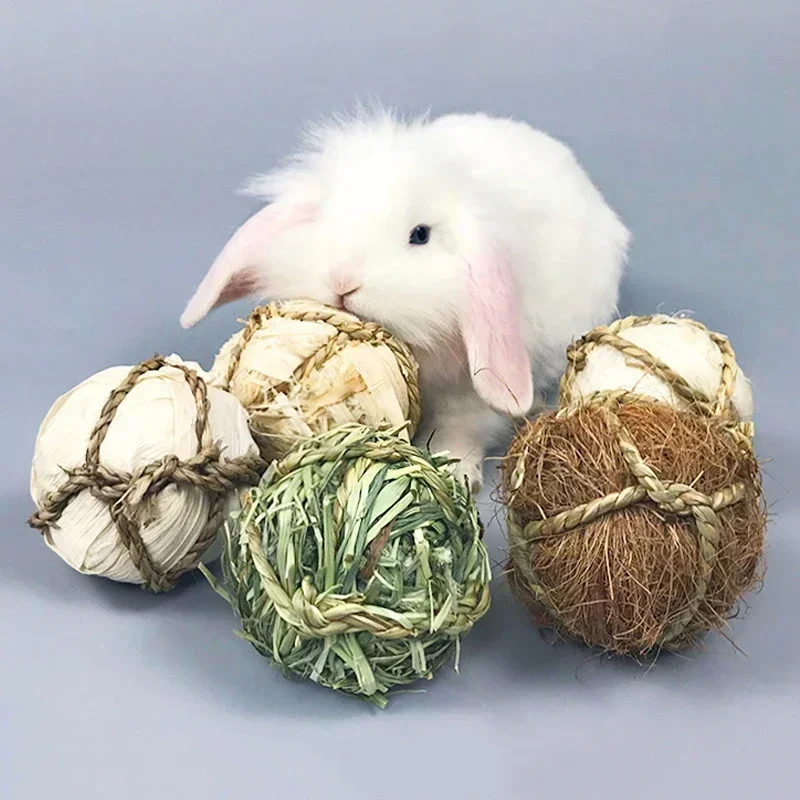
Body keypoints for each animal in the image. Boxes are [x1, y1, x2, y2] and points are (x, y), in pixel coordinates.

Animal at [180, 107, 630, 492]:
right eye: (328, 217)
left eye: (420, 235)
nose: (342, 281)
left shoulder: (470, 394)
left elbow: (462, 428)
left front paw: (456, 470)